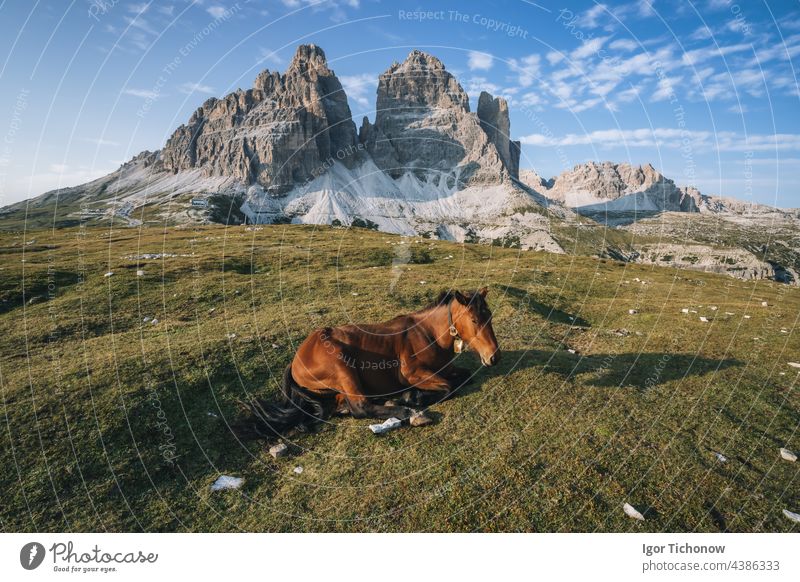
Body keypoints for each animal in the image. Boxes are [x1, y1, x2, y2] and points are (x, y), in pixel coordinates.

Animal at [234, 290, 504, 440]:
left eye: (490, 316)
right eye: (473, 319)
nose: (494, 357)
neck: (429, 335)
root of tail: (295, 361)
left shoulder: (445, 369)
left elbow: (465, 376)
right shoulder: (414, 375)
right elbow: (449, 387)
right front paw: (413, 398)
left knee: (343, 405)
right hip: (341, 364)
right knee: (360, 407)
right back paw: (407, 411)